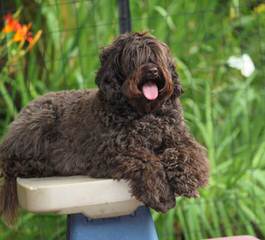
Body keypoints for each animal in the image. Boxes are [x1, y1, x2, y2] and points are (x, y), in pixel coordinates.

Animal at [0, 32, 208, 225]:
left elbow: (186, 153)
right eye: (133, 56)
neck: (144, 113)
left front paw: (186, 179)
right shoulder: (109, 152)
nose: (152, 70)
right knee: (12, 162)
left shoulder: (180, 138)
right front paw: (161, 194)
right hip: (40, 121)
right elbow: (147, 160)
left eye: (156, 55)